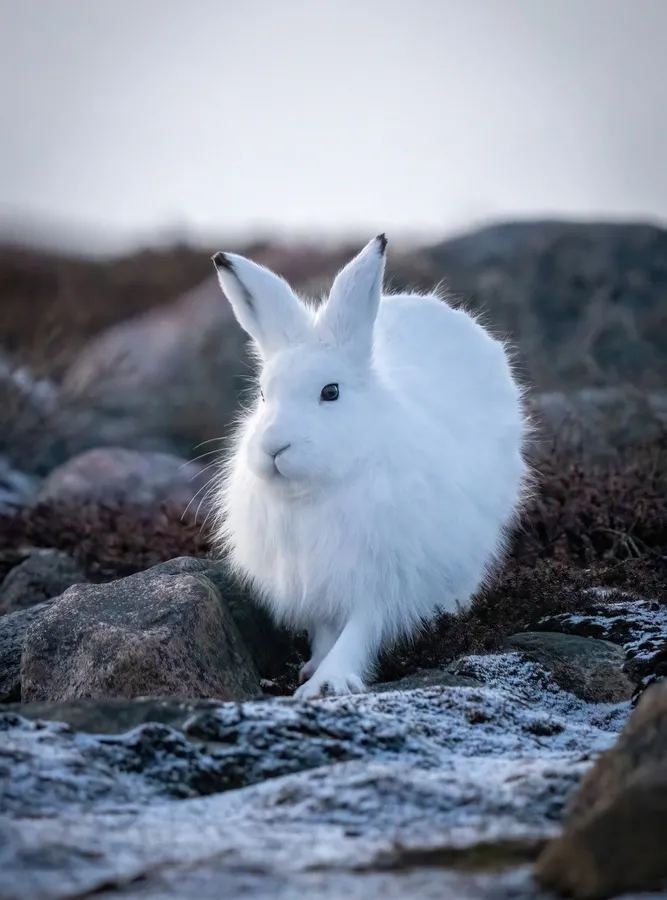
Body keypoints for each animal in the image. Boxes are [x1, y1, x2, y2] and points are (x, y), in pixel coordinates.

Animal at [211, 235, 532, 700]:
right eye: (263, 395)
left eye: (330, 392)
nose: (273, 447)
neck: (314, 490)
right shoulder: (315, 583)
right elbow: (327, 630)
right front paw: (313, 667)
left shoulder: (383, 578)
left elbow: (360, 629)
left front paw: (328, 682)